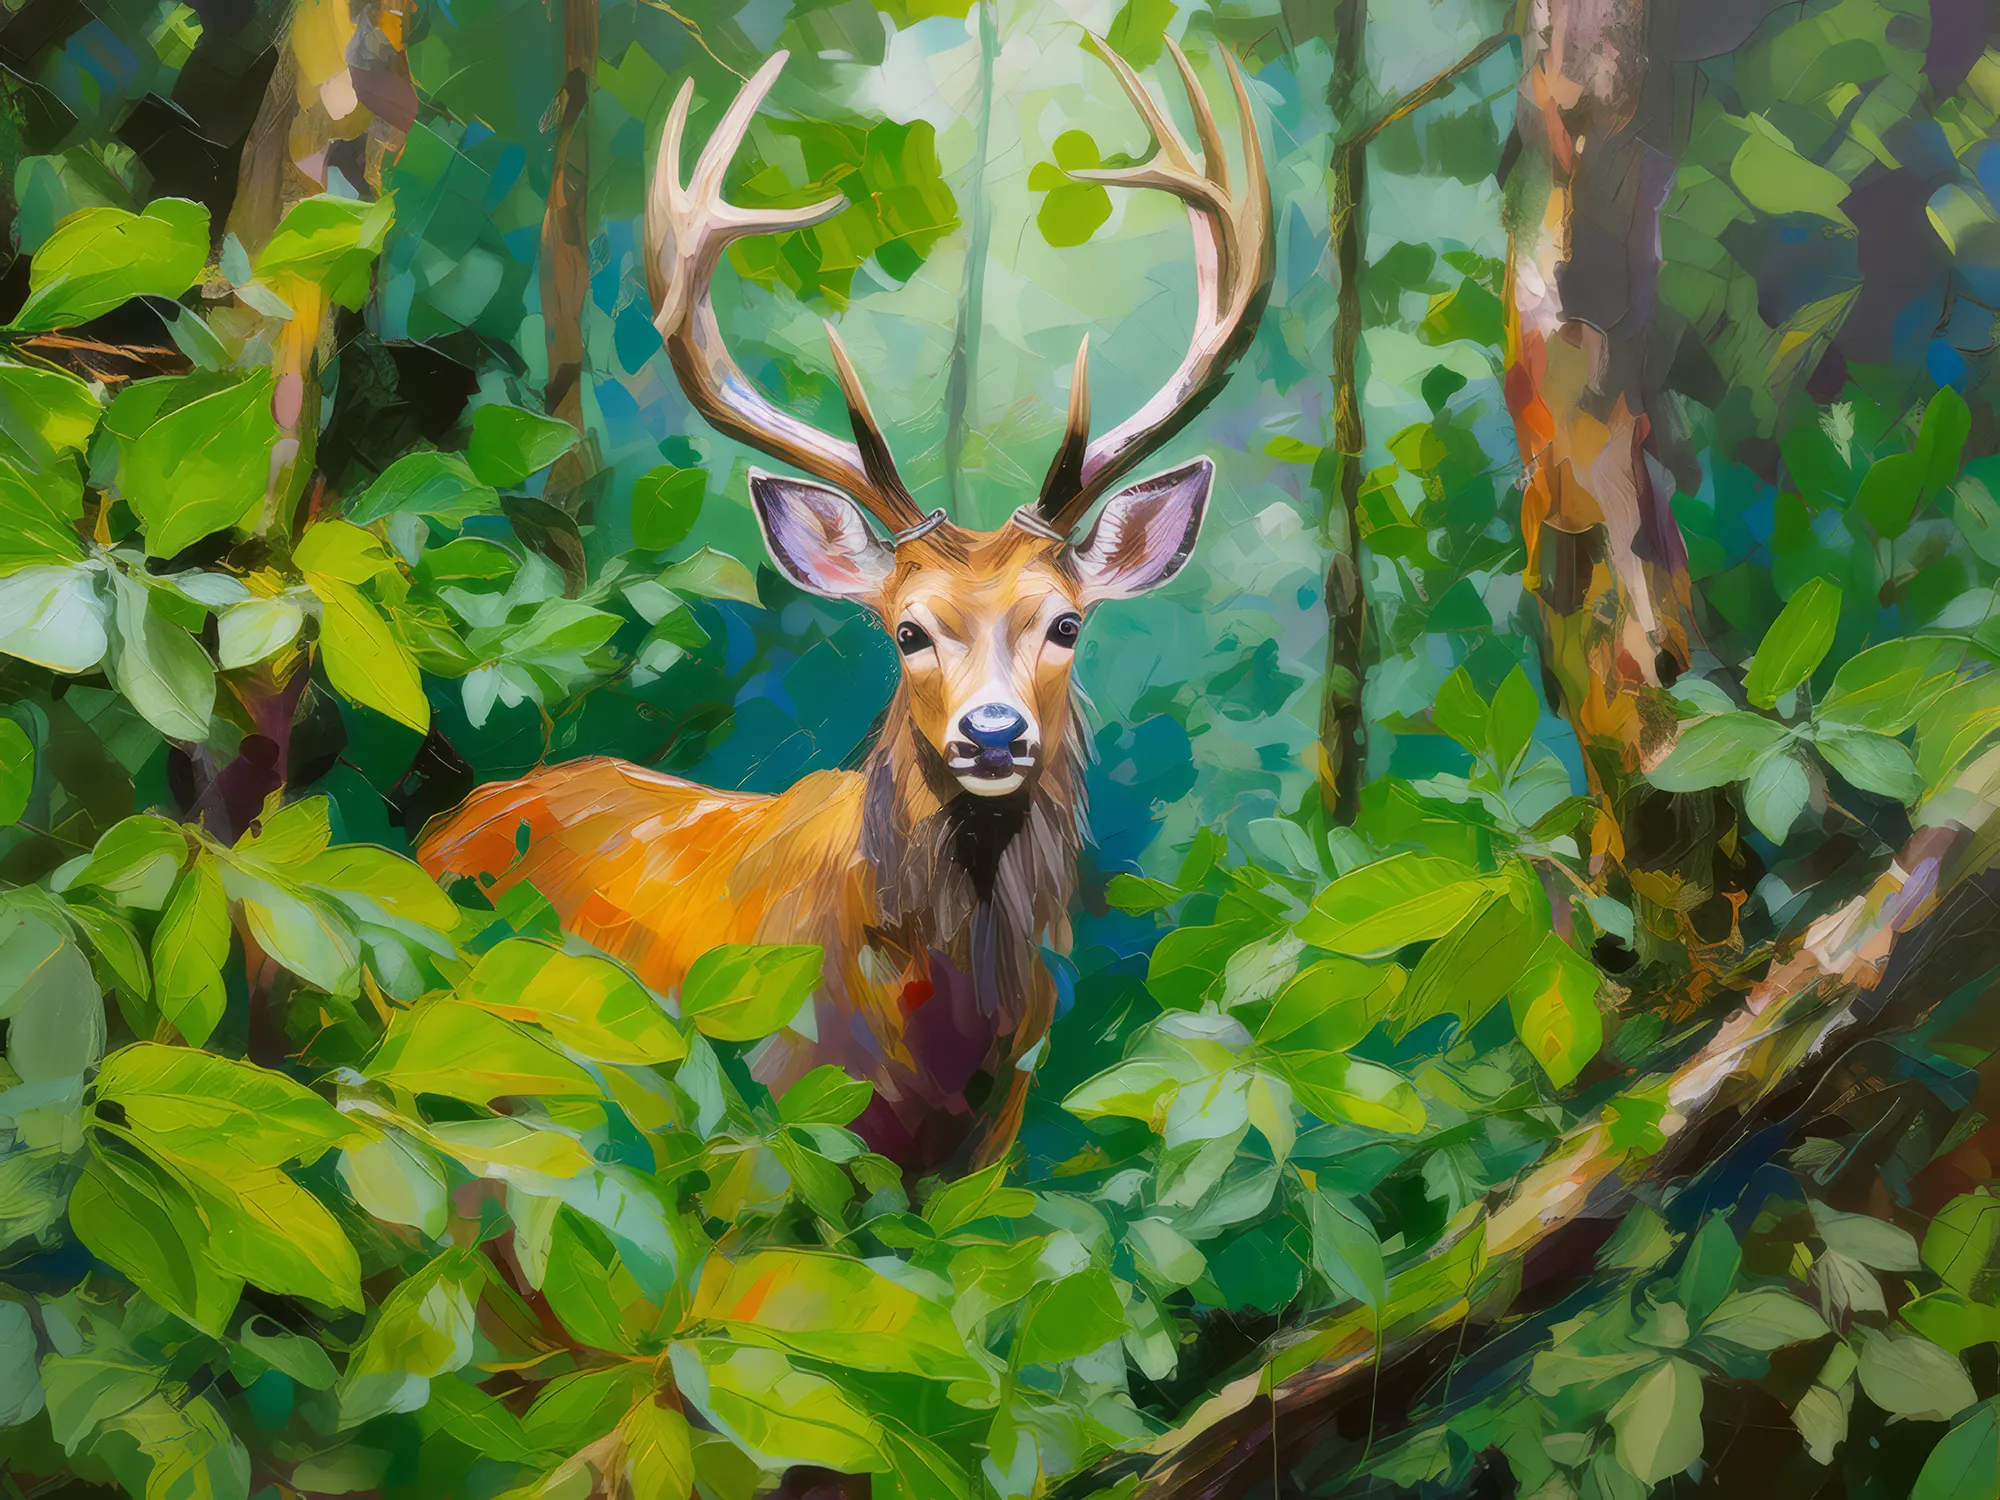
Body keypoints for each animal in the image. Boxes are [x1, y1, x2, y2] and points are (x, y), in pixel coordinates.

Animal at [417, 39, 1272, 1175]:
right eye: (906, 630)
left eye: (1065, 623)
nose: (991, 734)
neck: (932, 1048)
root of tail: (442, 831)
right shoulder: (768, 1129)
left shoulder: (995, 1146)